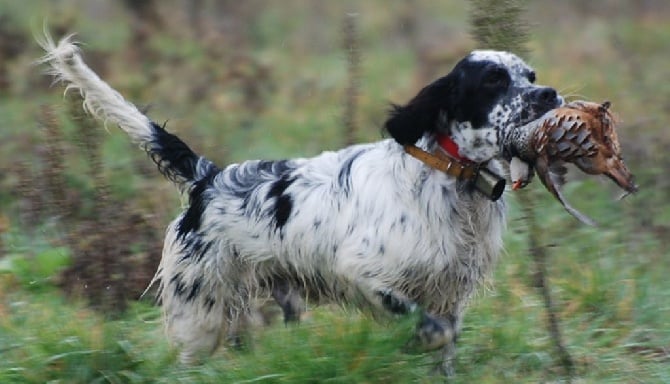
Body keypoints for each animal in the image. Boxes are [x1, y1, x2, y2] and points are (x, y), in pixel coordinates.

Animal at [39, 34, 564, 376]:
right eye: (493, 80)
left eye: (530, 75)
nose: (549, 93)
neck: (450, 179)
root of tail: (208, 177)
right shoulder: (365, 274)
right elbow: (429, 327)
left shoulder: (450, 293)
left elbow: (445, 346)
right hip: (199, 314)